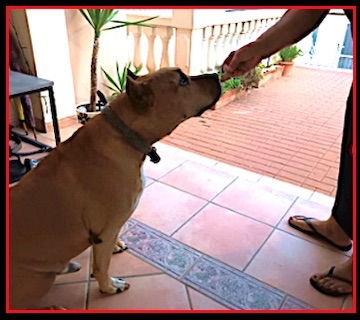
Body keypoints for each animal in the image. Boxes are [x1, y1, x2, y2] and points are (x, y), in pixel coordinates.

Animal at [9, 67, 222, 310]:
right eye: (183, 80)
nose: (216, 74)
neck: (126, 134)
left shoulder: (110, 228)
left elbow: (108, 247)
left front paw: (116, 246)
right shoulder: (105, 230)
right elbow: (101, 266)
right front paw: (109, 287)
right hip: (38, 281)